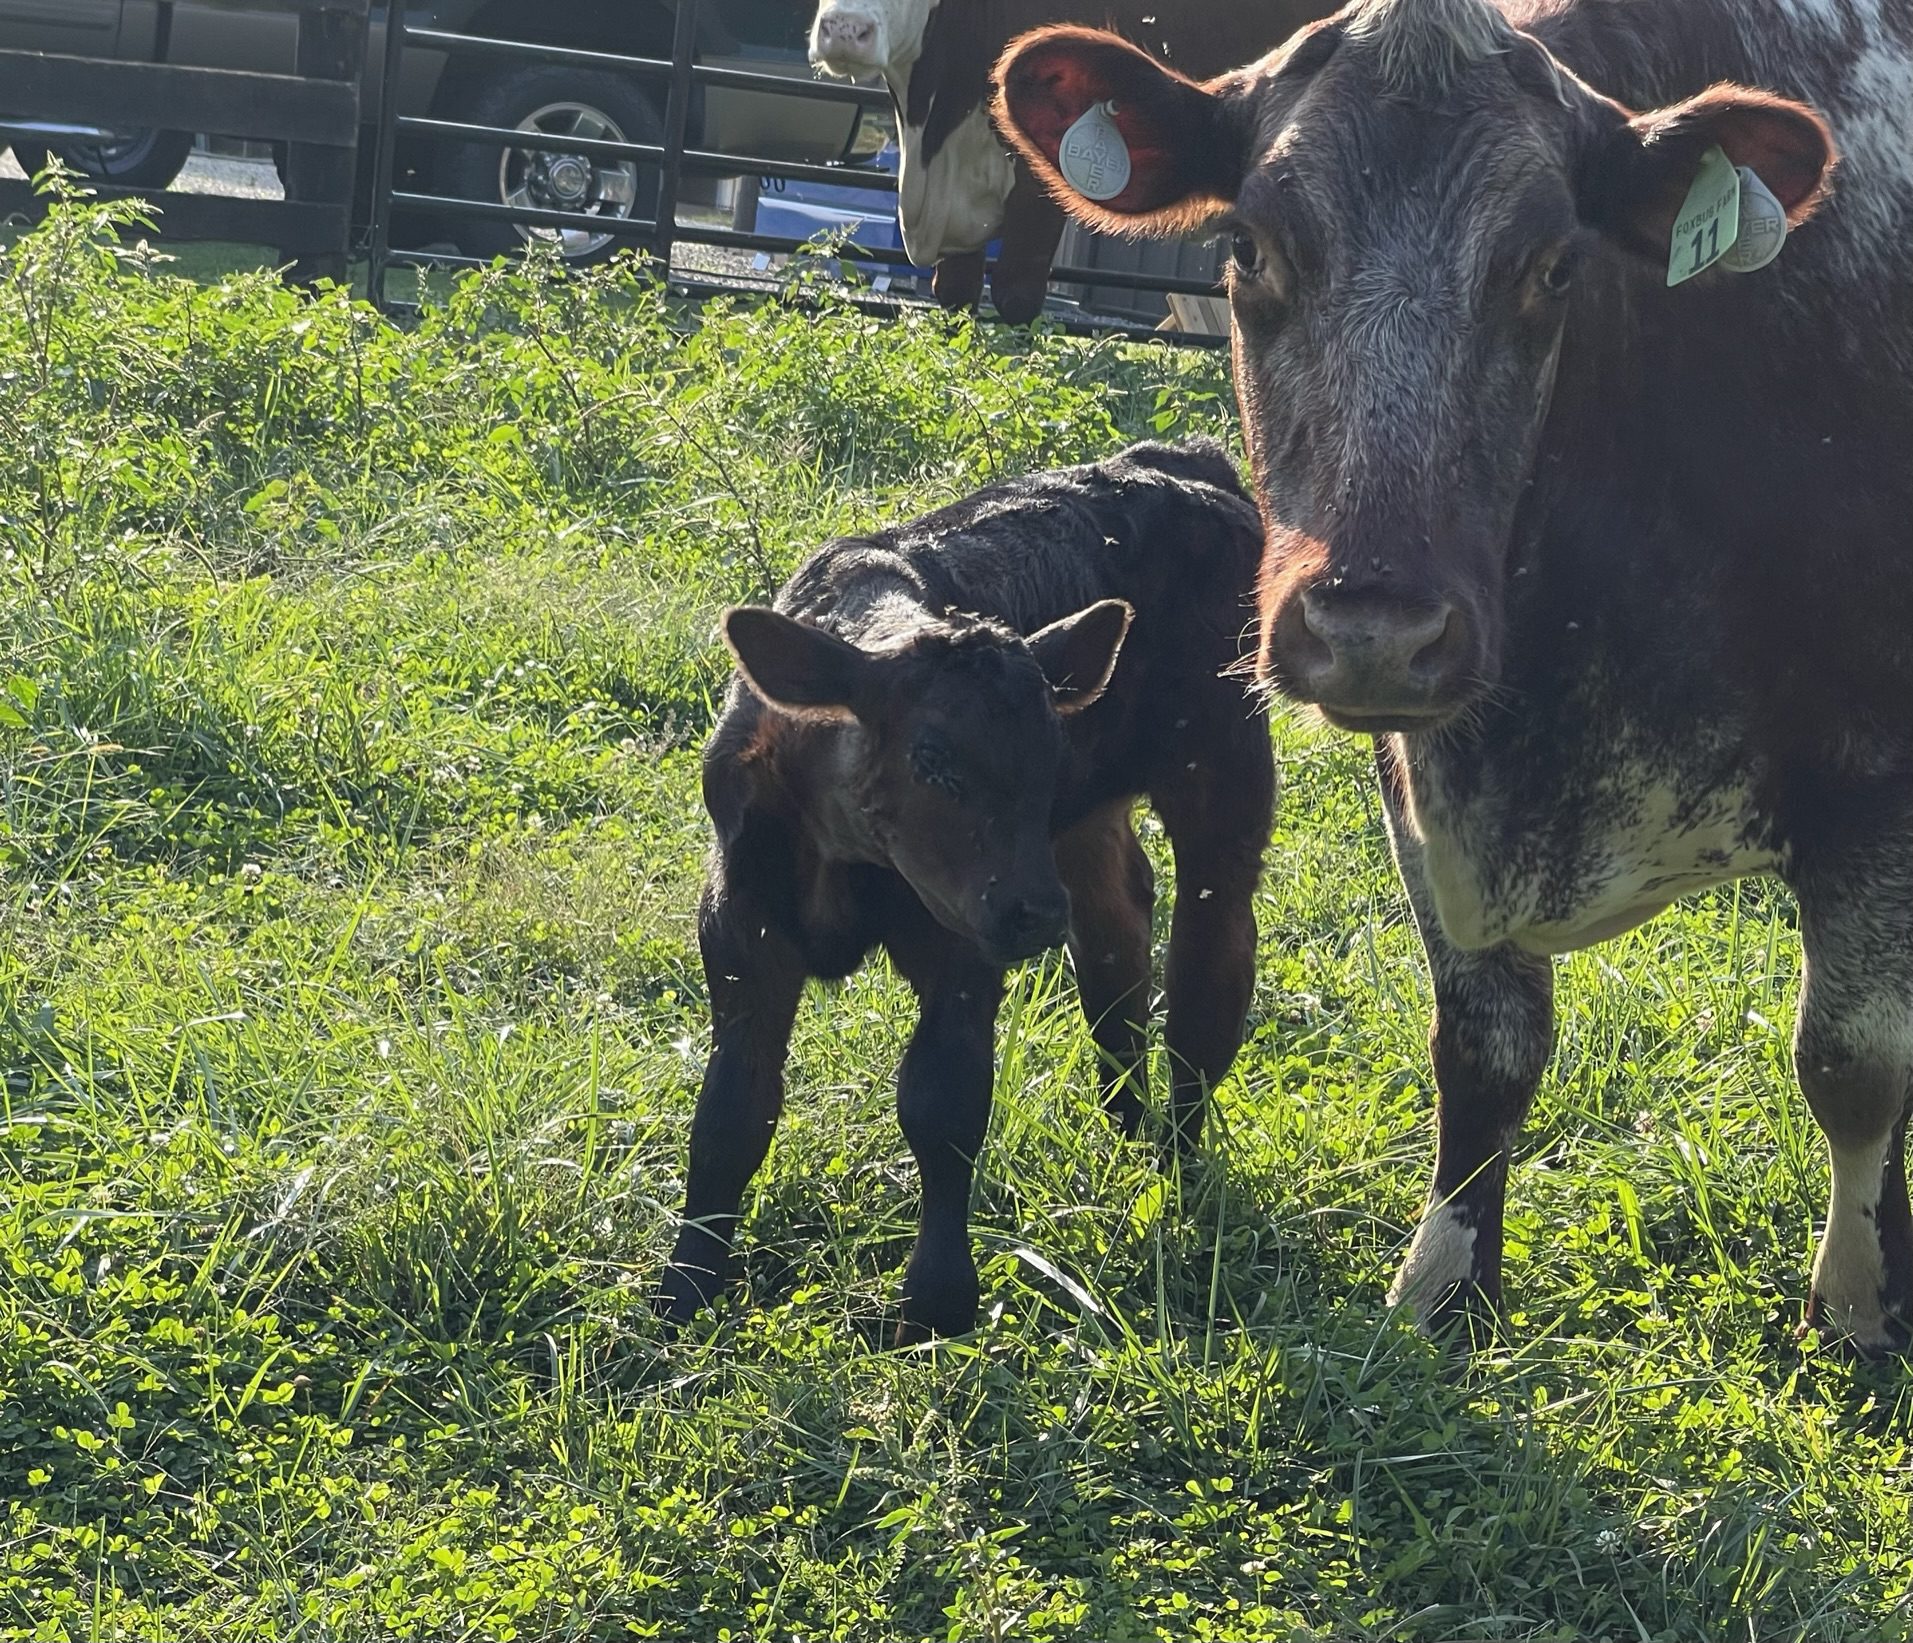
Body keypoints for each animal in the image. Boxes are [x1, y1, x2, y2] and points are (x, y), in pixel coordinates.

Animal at [655, 441, 1277, 1342]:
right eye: (932, 758)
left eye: (1047, 755)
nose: (1033, 913)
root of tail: (1177, 461)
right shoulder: (738, 920)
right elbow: (732, 1108)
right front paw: (684, 1291)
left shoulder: (959, 936)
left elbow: (941, 1103)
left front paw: (935, 1301)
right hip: (1075, 834)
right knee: (1114, 929)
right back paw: (1126, 1134)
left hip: (1219, 765)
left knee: (1206, 968)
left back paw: (1176, 1168)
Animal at [996, 0, 1913, 1356]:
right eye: (1246, 248)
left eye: (1553, 267)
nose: (1376, 626)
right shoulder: (1416, 782)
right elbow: (1481, 1045)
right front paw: (1442, 1281)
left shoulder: (1872, 789)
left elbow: (1851, 1059)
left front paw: (1852, 1304)